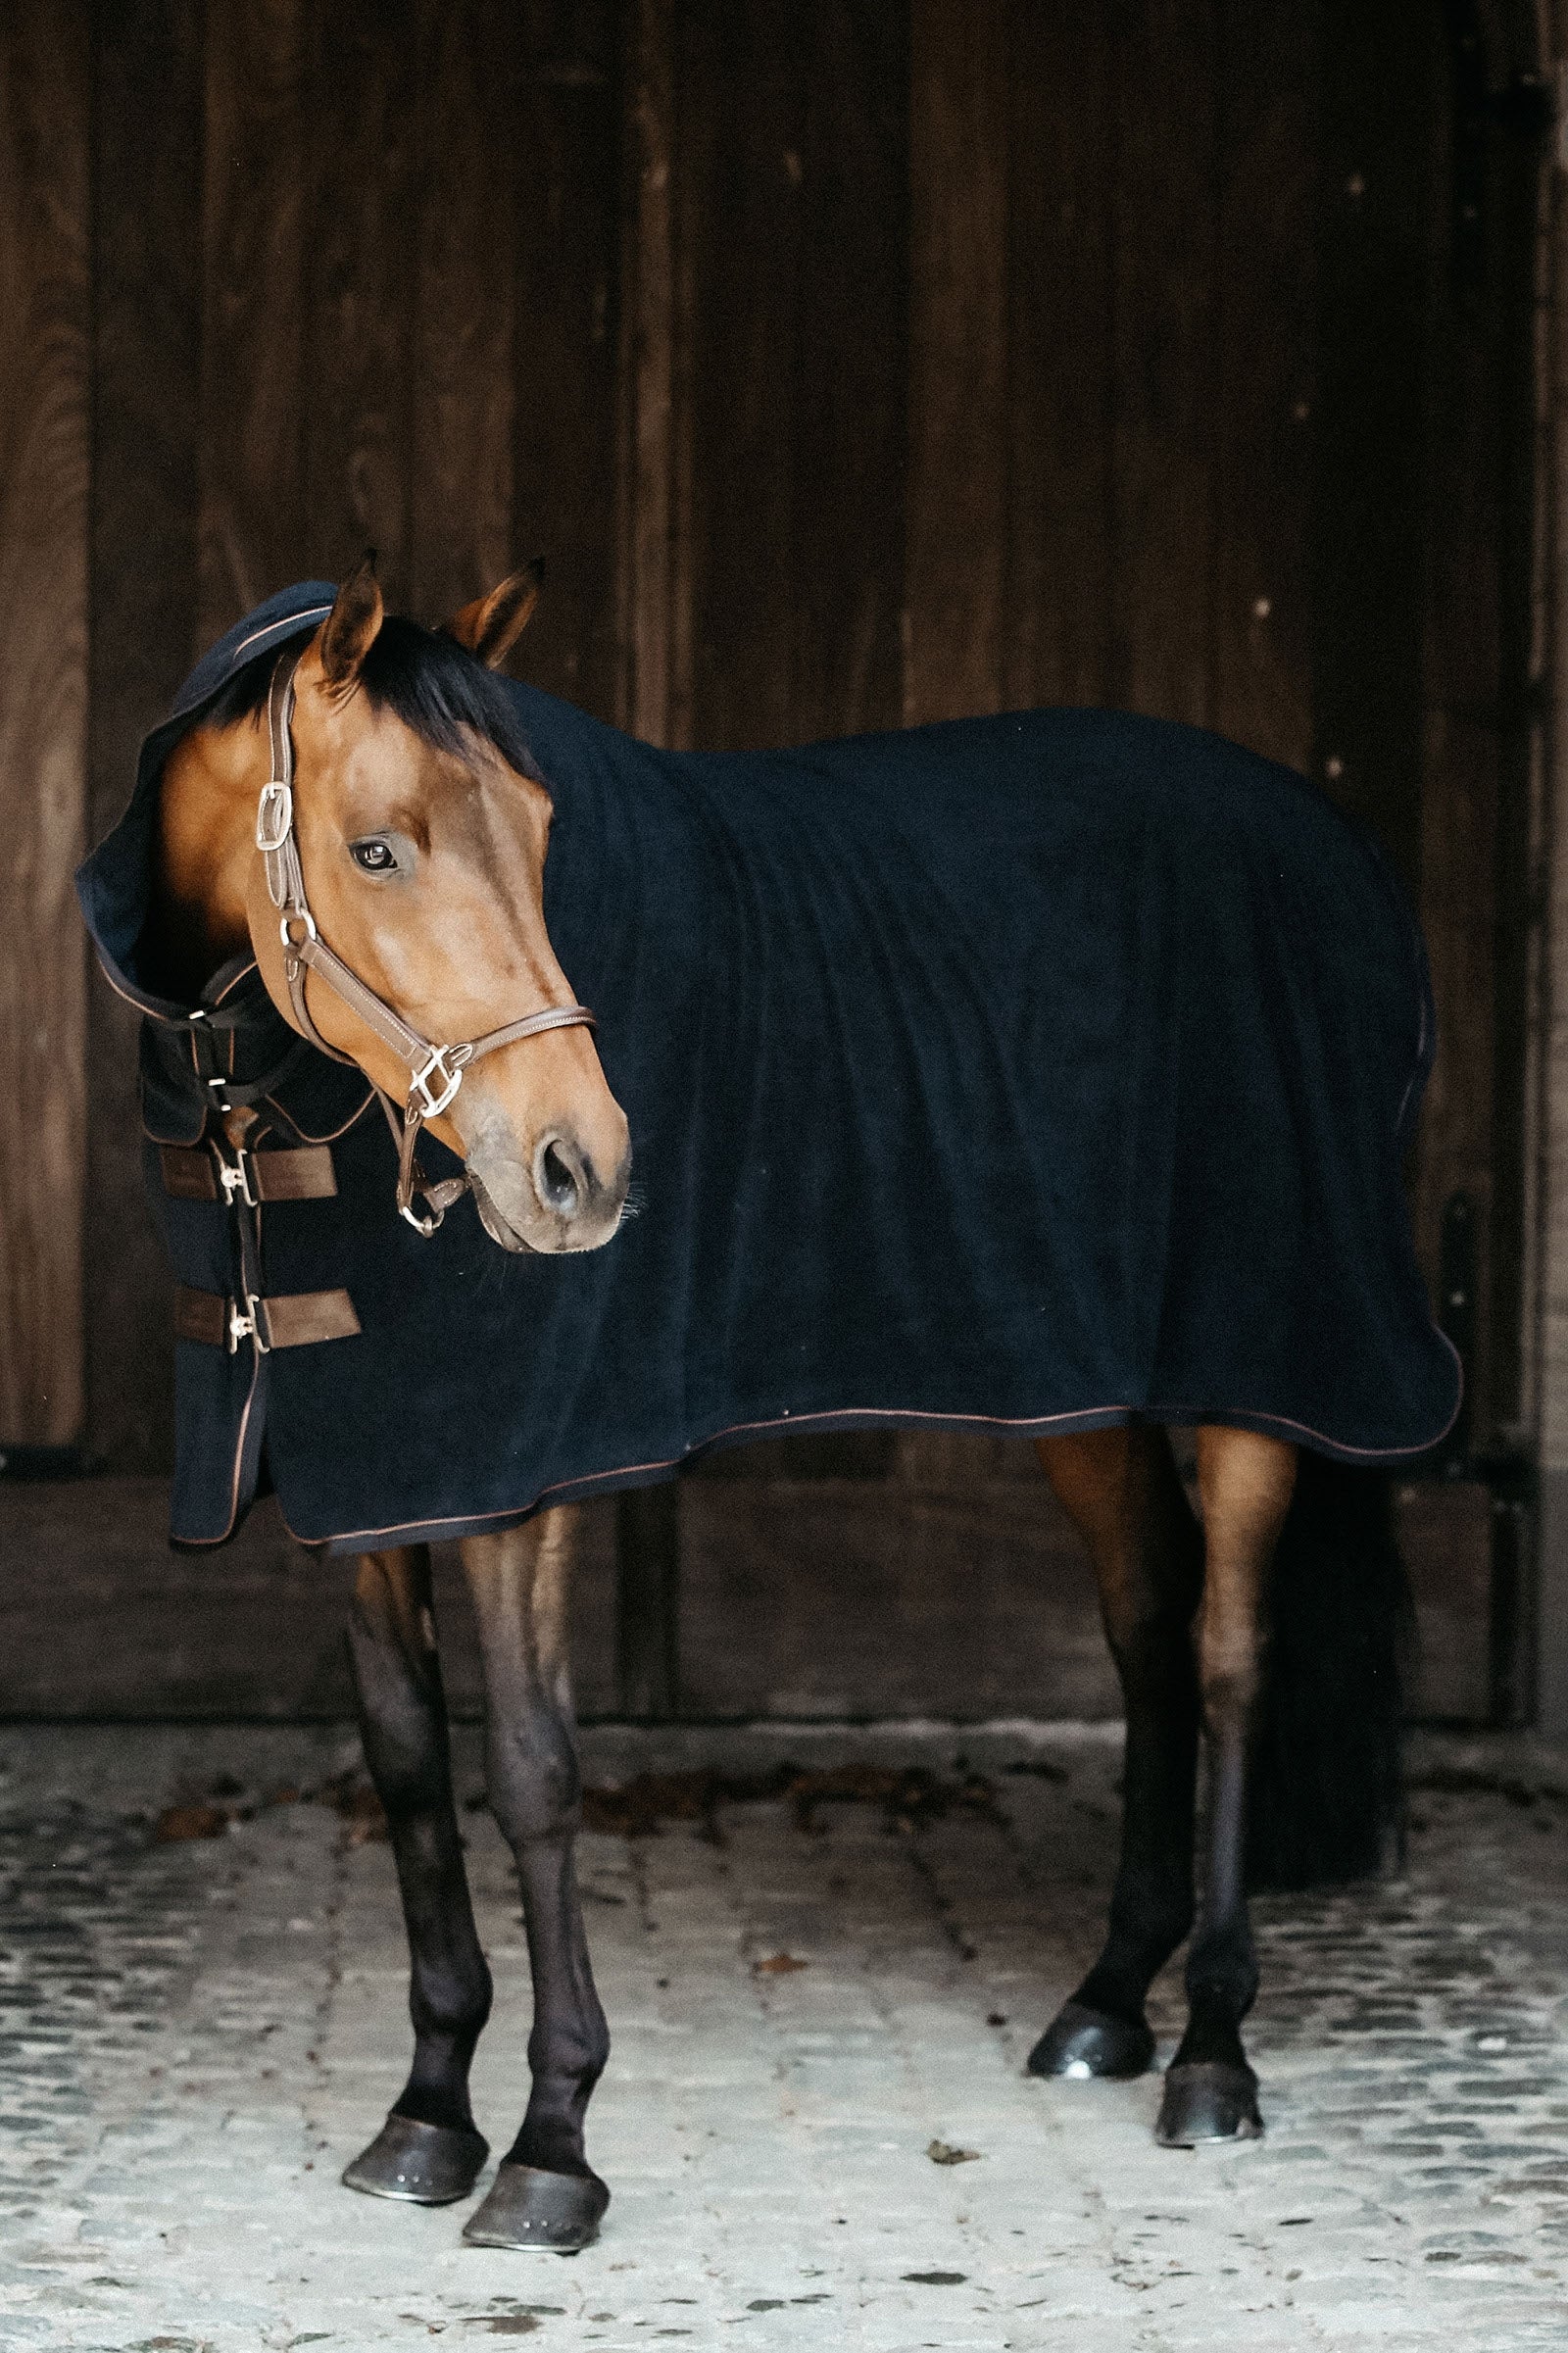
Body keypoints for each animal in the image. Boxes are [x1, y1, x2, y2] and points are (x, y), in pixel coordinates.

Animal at [77, 558, 1458, 2252]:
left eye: (542, 832)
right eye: (375, 846)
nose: (580, 1168)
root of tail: (1339, 854)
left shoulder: (522, 1484)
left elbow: (532, 1776)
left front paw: (550, 2146)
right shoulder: (373, 1489)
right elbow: (407, 1767)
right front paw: (423, 2114)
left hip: (1260, 1368)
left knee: (1228, 1665)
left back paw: (1211, 2051)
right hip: (1086, 1391)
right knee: (1145, 1638)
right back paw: (1106, 2006)